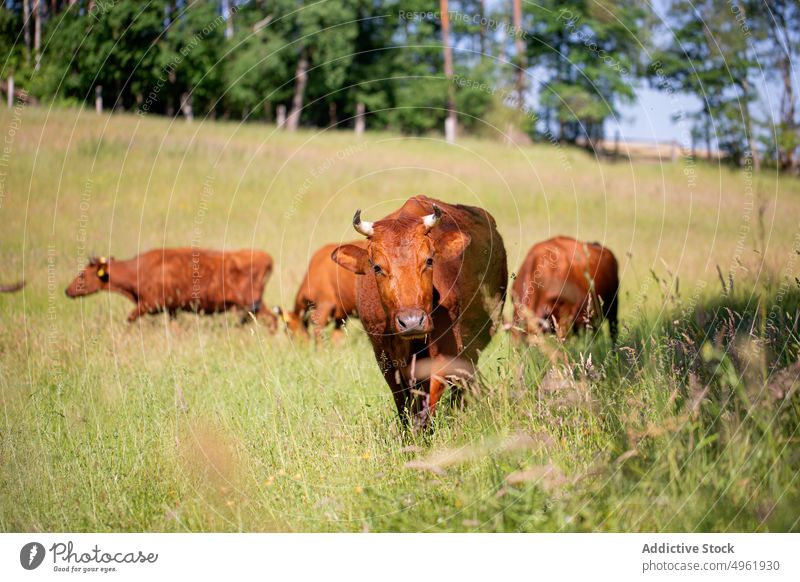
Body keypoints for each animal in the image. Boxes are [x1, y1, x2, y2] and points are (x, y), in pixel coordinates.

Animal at [64, 250, 276, 326]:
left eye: (83, 274)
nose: (67, 290)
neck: (138, 270)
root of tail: (266, 257)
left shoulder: (149, 304)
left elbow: (130, 319)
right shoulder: (171, 309)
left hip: (251, 305)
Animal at [332, 195, 506, 428]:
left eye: (429, 260)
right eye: (377, 267)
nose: (412, 321)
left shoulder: (445, 354)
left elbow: (427, 402)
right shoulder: (385, 360)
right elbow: (403, 404)